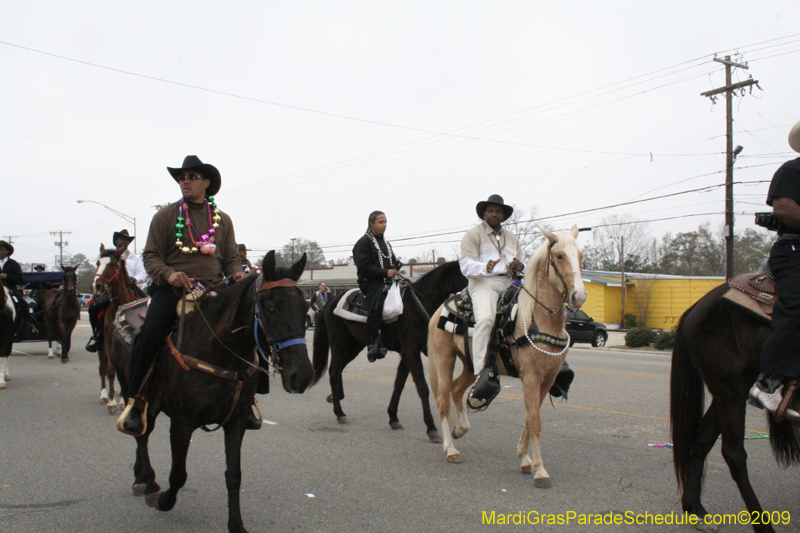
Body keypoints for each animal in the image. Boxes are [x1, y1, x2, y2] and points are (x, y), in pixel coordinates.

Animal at [93, 243, 140, 414]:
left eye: (112, 264)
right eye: (98, 263)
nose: (96, 285)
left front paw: (121, 401)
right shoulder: (108, 341)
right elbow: (110, 371)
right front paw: (112, 401)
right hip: (100, 346)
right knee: (102, 368)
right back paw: (104, 395)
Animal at [124, 250, 312, 532]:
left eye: (305, 308)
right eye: (271, 309)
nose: (302, 377)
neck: (218, 350)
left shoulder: (236, 421)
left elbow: (234, 475)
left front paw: (236, 524)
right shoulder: (182, 423)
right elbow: (178, 475)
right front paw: (163, 500)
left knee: (143, 435)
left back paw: (141, 477)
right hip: (141, 396)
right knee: (140, 432)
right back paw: (147, 480)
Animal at [310, 260, 466, 438]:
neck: (417, 306)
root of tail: (331, 301)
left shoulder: (408, 353)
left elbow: (399, 384)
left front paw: (393, 417)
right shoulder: (411, 351)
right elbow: (422, 387)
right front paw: (431, 427)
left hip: (354, 346)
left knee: (337, 370)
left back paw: (335, 398)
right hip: (339, 343)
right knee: (334, 371)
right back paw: (339, 412)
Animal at [428, 225, 584, 486]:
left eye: (580, 256)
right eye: (560, 256)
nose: (579, 296)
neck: (537, 318)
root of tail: (441, 308)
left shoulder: (547, 379)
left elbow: (530, 417)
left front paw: (525, 459)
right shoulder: (530, 376)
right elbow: (535, 421)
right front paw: (540, 471)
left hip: (471, 364)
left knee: (457, 390)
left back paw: (461, 430)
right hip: (444, 358)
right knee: (442, 399)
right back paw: (450, 449)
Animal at [668, 280, 800, 528]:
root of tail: (695, 307)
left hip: (726, 393)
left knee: (703, 437)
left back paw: (695, 508)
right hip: (731, 390)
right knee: (734, 454)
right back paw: (762, 524)